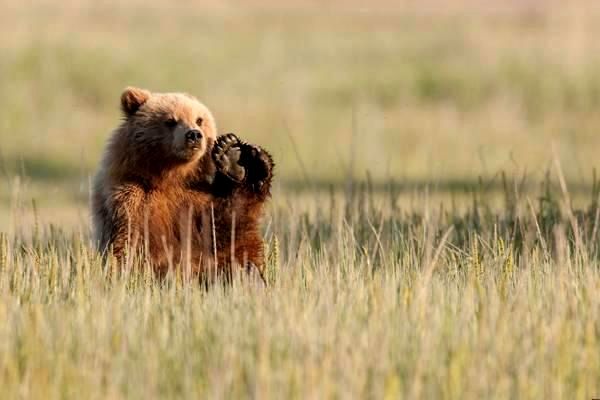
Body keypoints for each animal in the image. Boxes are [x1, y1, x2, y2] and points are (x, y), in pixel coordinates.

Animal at [91, 86, 274, 282]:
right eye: (171, 120)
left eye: (199, 119)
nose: (194, 134)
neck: (169, 177)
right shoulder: (132, 200)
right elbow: (133, 245)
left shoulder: (197, 200)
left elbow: (226, 229)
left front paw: (232, 156)